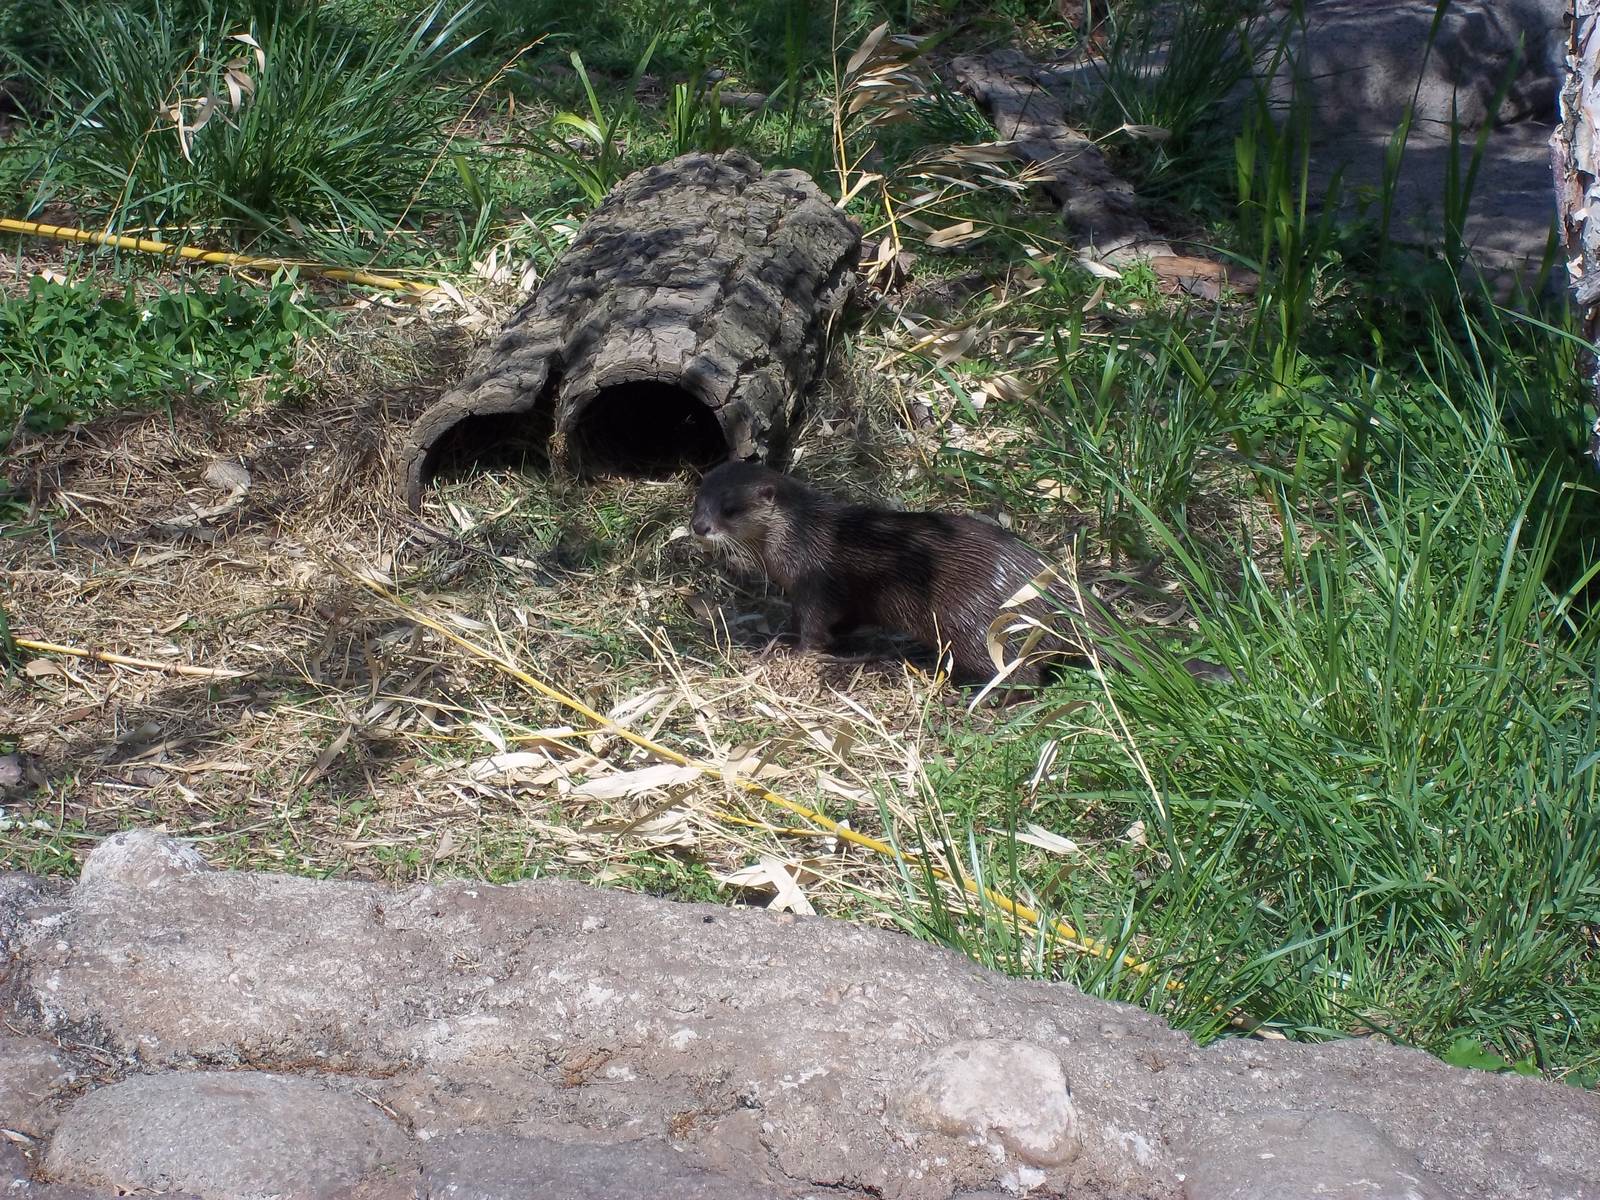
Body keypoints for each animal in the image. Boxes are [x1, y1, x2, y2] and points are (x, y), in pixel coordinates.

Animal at [690, 461, 1230, 689]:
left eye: (731, 509)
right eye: (698, 499)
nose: (698, 527)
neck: (798, 536)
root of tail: (1054, 590)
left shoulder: (817, 581)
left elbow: (814, 629)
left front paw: (788, 651)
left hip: (972, 623)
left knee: (1025, 675)